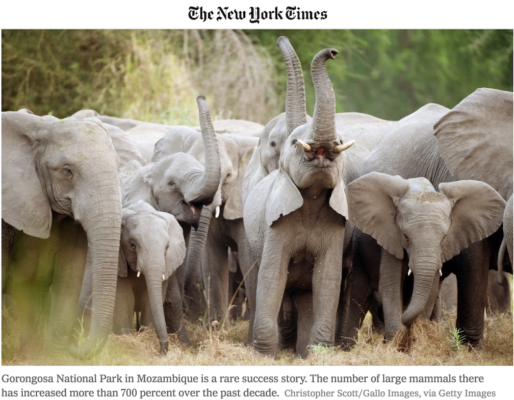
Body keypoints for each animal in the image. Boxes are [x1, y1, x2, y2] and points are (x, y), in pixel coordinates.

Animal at [79, 200, 185, 354]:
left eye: (167, 247)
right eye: (133, 245)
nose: (160, 351)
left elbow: (150, 301)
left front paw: (146, 339)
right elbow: (124, 300)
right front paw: (127, 342)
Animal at [242, 46, 354, 356]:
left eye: (341, 139)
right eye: (294, 143)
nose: (333, 52)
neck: (311, 197)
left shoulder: (336, 226)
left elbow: (327, 279)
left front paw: (320, 354)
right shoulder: (275, 223)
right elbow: (273, 274)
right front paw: (264, 355)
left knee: (306, 294)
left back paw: (303, 350)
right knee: (256, 280)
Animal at [342, 170, 502, 346]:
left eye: (444, 238)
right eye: (406, 237)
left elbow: (431, 289)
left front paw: (415, 337)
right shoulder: (391, 239)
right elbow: (390, 286)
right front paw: (395, 342)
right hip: (357, 249)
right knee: (359, 295)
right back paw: (347, 347)